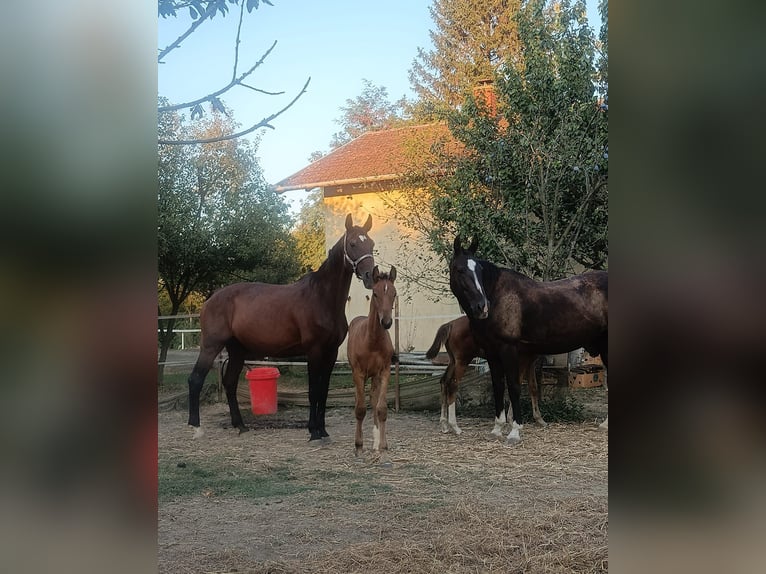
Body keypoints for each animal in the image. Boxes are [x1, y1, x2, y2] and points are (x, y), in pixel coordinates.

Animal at [188, 214, 376, 444]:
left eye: (371, 244)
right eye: (353, 244)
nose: (370, 276)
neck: (322, 298)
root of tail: (210, 300)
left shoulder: (331, 353)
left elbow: (323, 392)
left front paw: (323, 431)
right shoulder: (313, 352)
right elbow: (313, 391)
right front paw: (313, 431)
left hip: (237, 350)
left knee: (230, 383)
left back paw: (240, 425)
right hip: (210, 346)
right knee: (196, 379)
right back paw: (196, 428)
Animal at [346, 264, 396, 460]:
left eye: (394, 294)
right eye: (375, 293)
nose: (387, 322)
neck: (372, 341)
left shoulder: (385, 371)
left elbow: (381, 408)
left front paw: (382, 445)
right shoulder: (359, 373)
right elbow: (360, 409)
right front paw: (358, 445)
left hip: (374, 376)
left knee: (374, 400)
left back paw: (375, 442)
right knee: (359, 402)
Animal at [450, 238, 608, 446]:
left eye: (480, 271)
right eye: (460, 269)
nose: (482, 306)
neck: (499, 297)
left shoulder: (509, 350)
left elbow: (514, 386)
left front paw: (515, 432)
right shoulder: (492, 353)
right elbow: (498, 387)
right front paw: (497, 429)